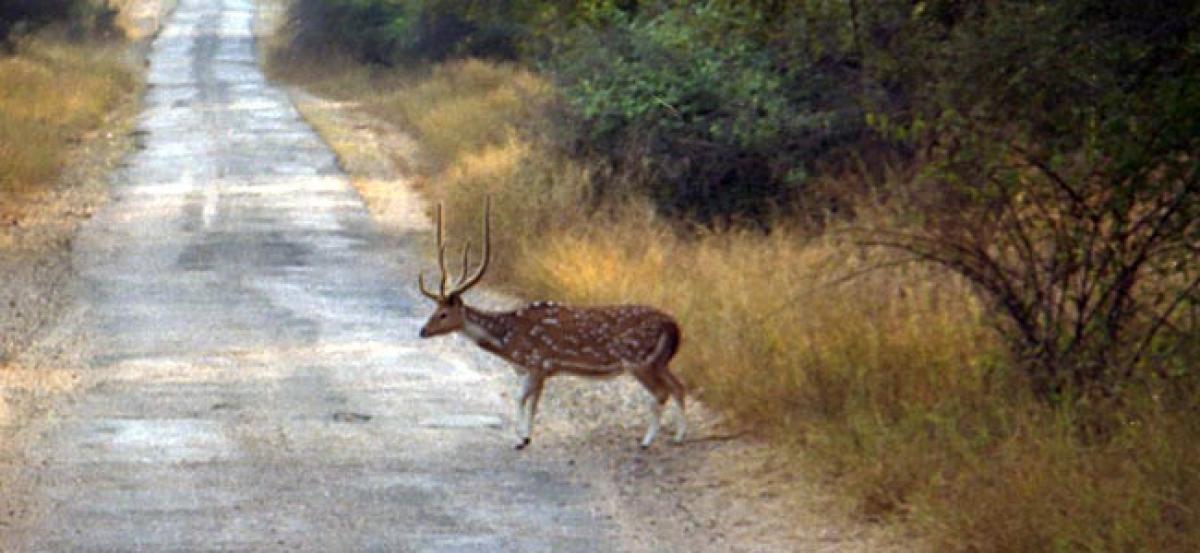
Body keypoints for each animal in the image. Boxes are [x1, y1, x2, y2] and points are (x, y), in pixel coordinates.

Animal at [420, 197, 686, 448]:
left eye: (443, 313)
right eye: (434, 309)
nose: (423, 331)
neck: (509, 341)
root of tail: (673, 325)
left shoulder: (539, 363)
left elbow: (530, 403)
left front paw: (524, 438)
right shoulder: (534, 368)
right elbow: (520, 399)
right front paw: (522, 438)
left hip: (638, 359)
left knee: (662, 393)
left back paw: (646, 441)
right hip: (659, 361)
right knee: (678, 387)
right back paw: (677, 437)